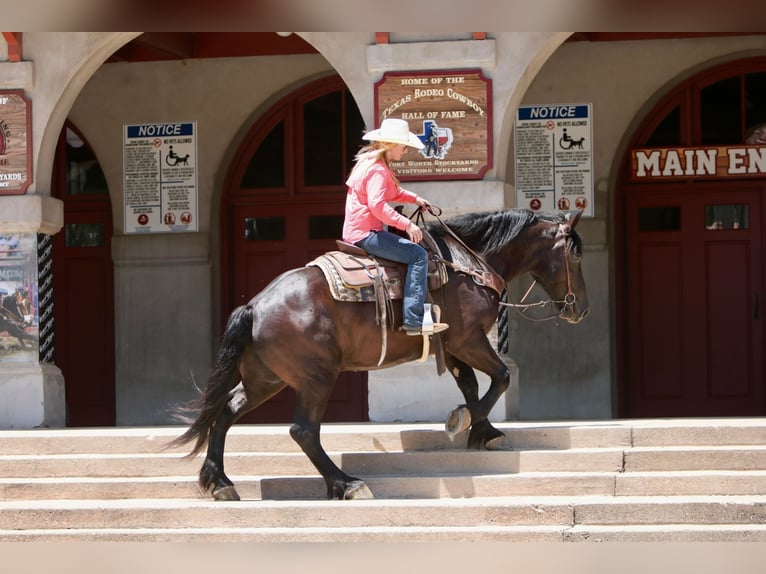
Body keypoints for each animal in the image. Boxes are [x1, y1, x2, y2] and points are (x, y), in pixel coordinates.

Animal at [171, 209, 592, 502]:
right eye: (575, 257)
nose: (581, 310)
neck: (466, 265)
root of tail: (255, 307)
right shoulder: (469, 340)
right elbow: (500, 377)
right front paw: (464, 420)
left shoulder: (454, 345)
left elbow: (472, 384)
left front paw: (483, 430)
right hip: (316, 377)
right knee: (303, 430)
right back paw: (345, 483)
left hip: (265, 379)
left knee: (226, 411)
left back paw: (220, 481)